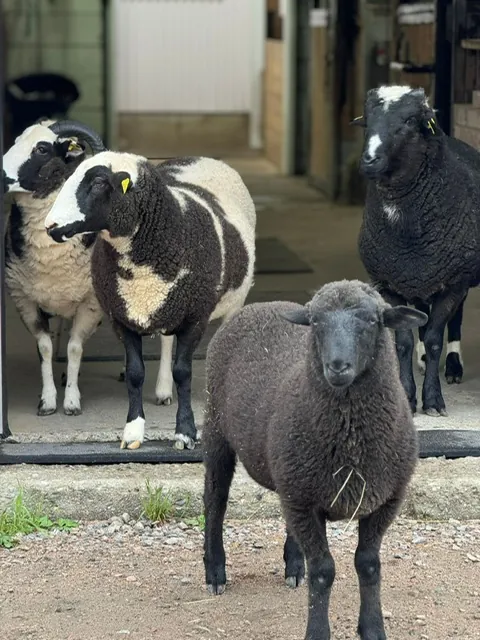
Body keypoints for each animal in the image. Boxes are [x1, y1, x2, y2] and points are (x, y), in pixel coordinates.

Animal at [2, 119, 107, 416]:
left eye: (41, 148)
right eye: (16, 141)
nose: (0, 175)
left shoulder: (91, 303)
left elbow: (74, 348)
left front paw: (71, 402)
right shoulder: (25, 300)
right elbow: (46, 349)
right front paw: (48, 401)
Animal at [43, 151, 256, 450]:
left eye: (98, 183)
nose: (50, 226)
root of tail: (200, 157)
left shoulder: (194, 319)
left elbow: (184, 373)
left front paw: (185, 433)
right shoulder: (122, 318)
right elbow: (135, 373)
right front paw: (133, 432)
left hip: (232, 300)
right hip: (167, 306)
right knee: (166, 342)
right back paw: (163, 390)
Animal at [202, 279, 427, 640]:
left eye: (371, 320)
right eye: (317, 321)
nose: (337, 365)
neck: (351, 445)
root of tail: (263, 304)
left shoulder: (384, 501)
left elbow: (369, 565)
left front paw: (373, 628)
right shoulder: (306, 500)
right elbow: (323, 570)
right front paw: (318, 631)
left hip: (293, 476)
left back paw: (294, 566)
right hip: (216, 429)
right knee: (215, 501)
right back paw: (215, 572)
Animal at [355, 84, 480, 418]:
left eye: (411, 121)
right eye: (367, 120)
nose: (369, 159)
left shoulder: (454, 280)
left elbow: (436, 339)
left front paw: (433, 400)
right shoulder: (389, 282)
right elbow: (403, 342)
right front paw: (408, 396)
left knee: (455, 320)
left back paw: (453, 366)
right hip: (420, 278)